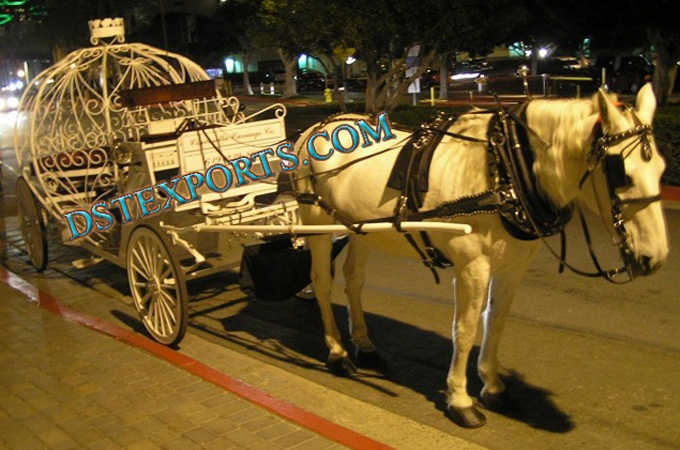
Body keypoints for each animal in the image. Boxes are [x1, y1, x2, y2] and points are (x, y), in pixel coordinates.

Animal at [290, 85, 668, 428]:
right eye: (620, 173)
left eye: (663, 170)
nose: (657, 258)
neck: (506, 170)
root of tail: (315, 128)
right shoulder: (472, 268)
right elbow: (466, 328)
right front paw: (460, 399)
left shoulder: (513, 267)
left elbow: (495, 322)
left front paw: (493, 386)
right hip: (317, 223)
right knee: (322, 283)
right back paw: (337, 352)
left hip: (360, 229)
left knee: (354, 281)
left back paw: (365, 346)